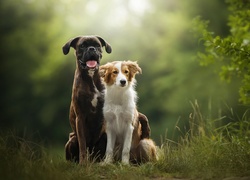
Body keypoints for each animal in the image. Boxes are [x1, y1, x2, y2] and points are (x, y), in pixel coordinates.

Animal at [63, 34, 112, 163]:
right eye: (82, 45)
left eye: (97, 45)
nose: (91, 49)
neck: (91, 77)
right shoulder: (80, 117)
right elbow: (82, 144)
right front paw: (83, 163)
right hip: (72, 139)